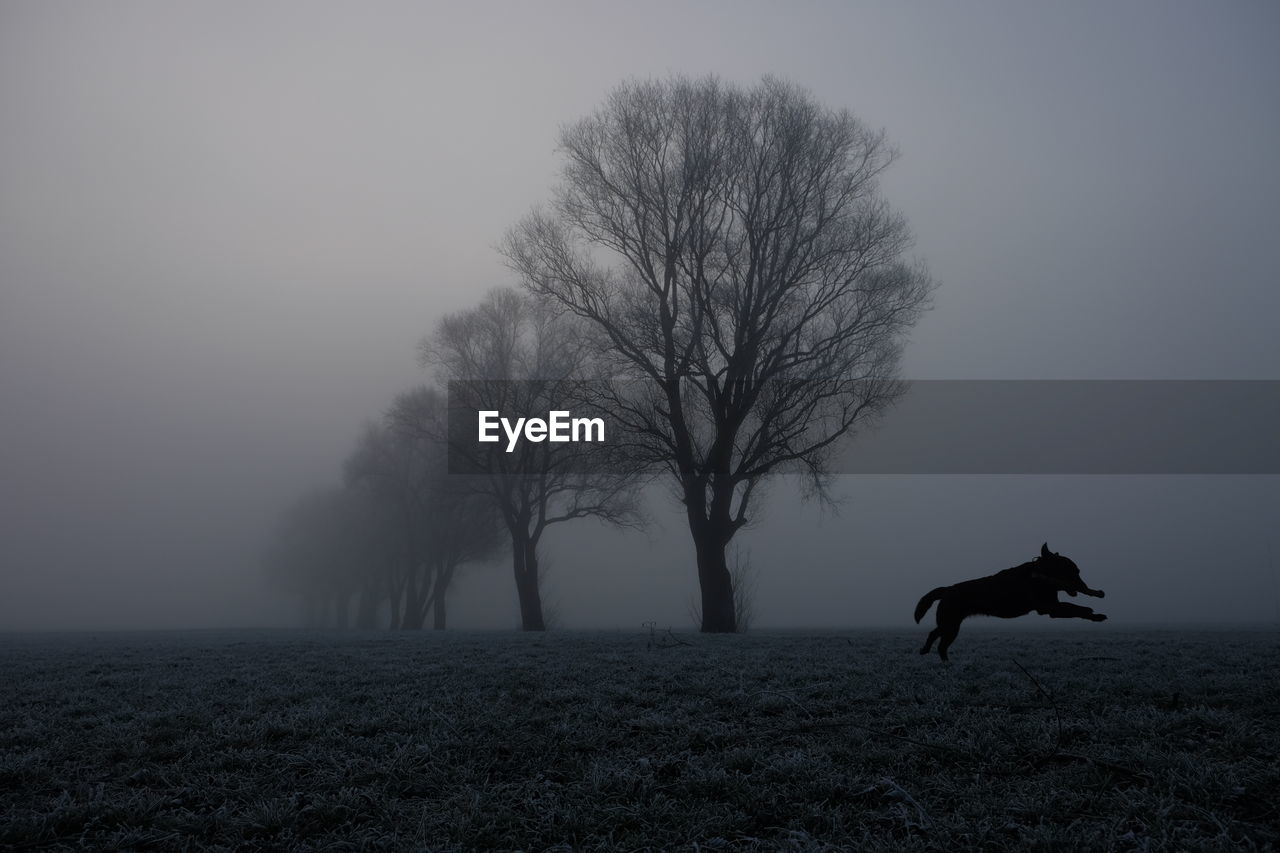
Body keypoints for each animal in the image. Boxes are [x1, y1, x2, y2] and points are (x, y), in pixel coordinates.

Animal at [916, 540, 1105, 660]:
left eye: (1077, 571)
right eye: (1072, 571)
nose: (1085, 587)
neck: (1039, 576)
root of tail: (947, 589)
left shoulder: (1053, 608)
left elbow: (1074, 609)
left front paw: (1095, 615)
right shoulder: (1049, 607)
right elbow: (1075, 608)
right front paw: (1093, 613)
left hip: (951, 626)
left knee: (940, 642)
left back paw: (943, 662)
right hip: (950, 624)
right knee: (936, 637)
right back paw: (931, 654)